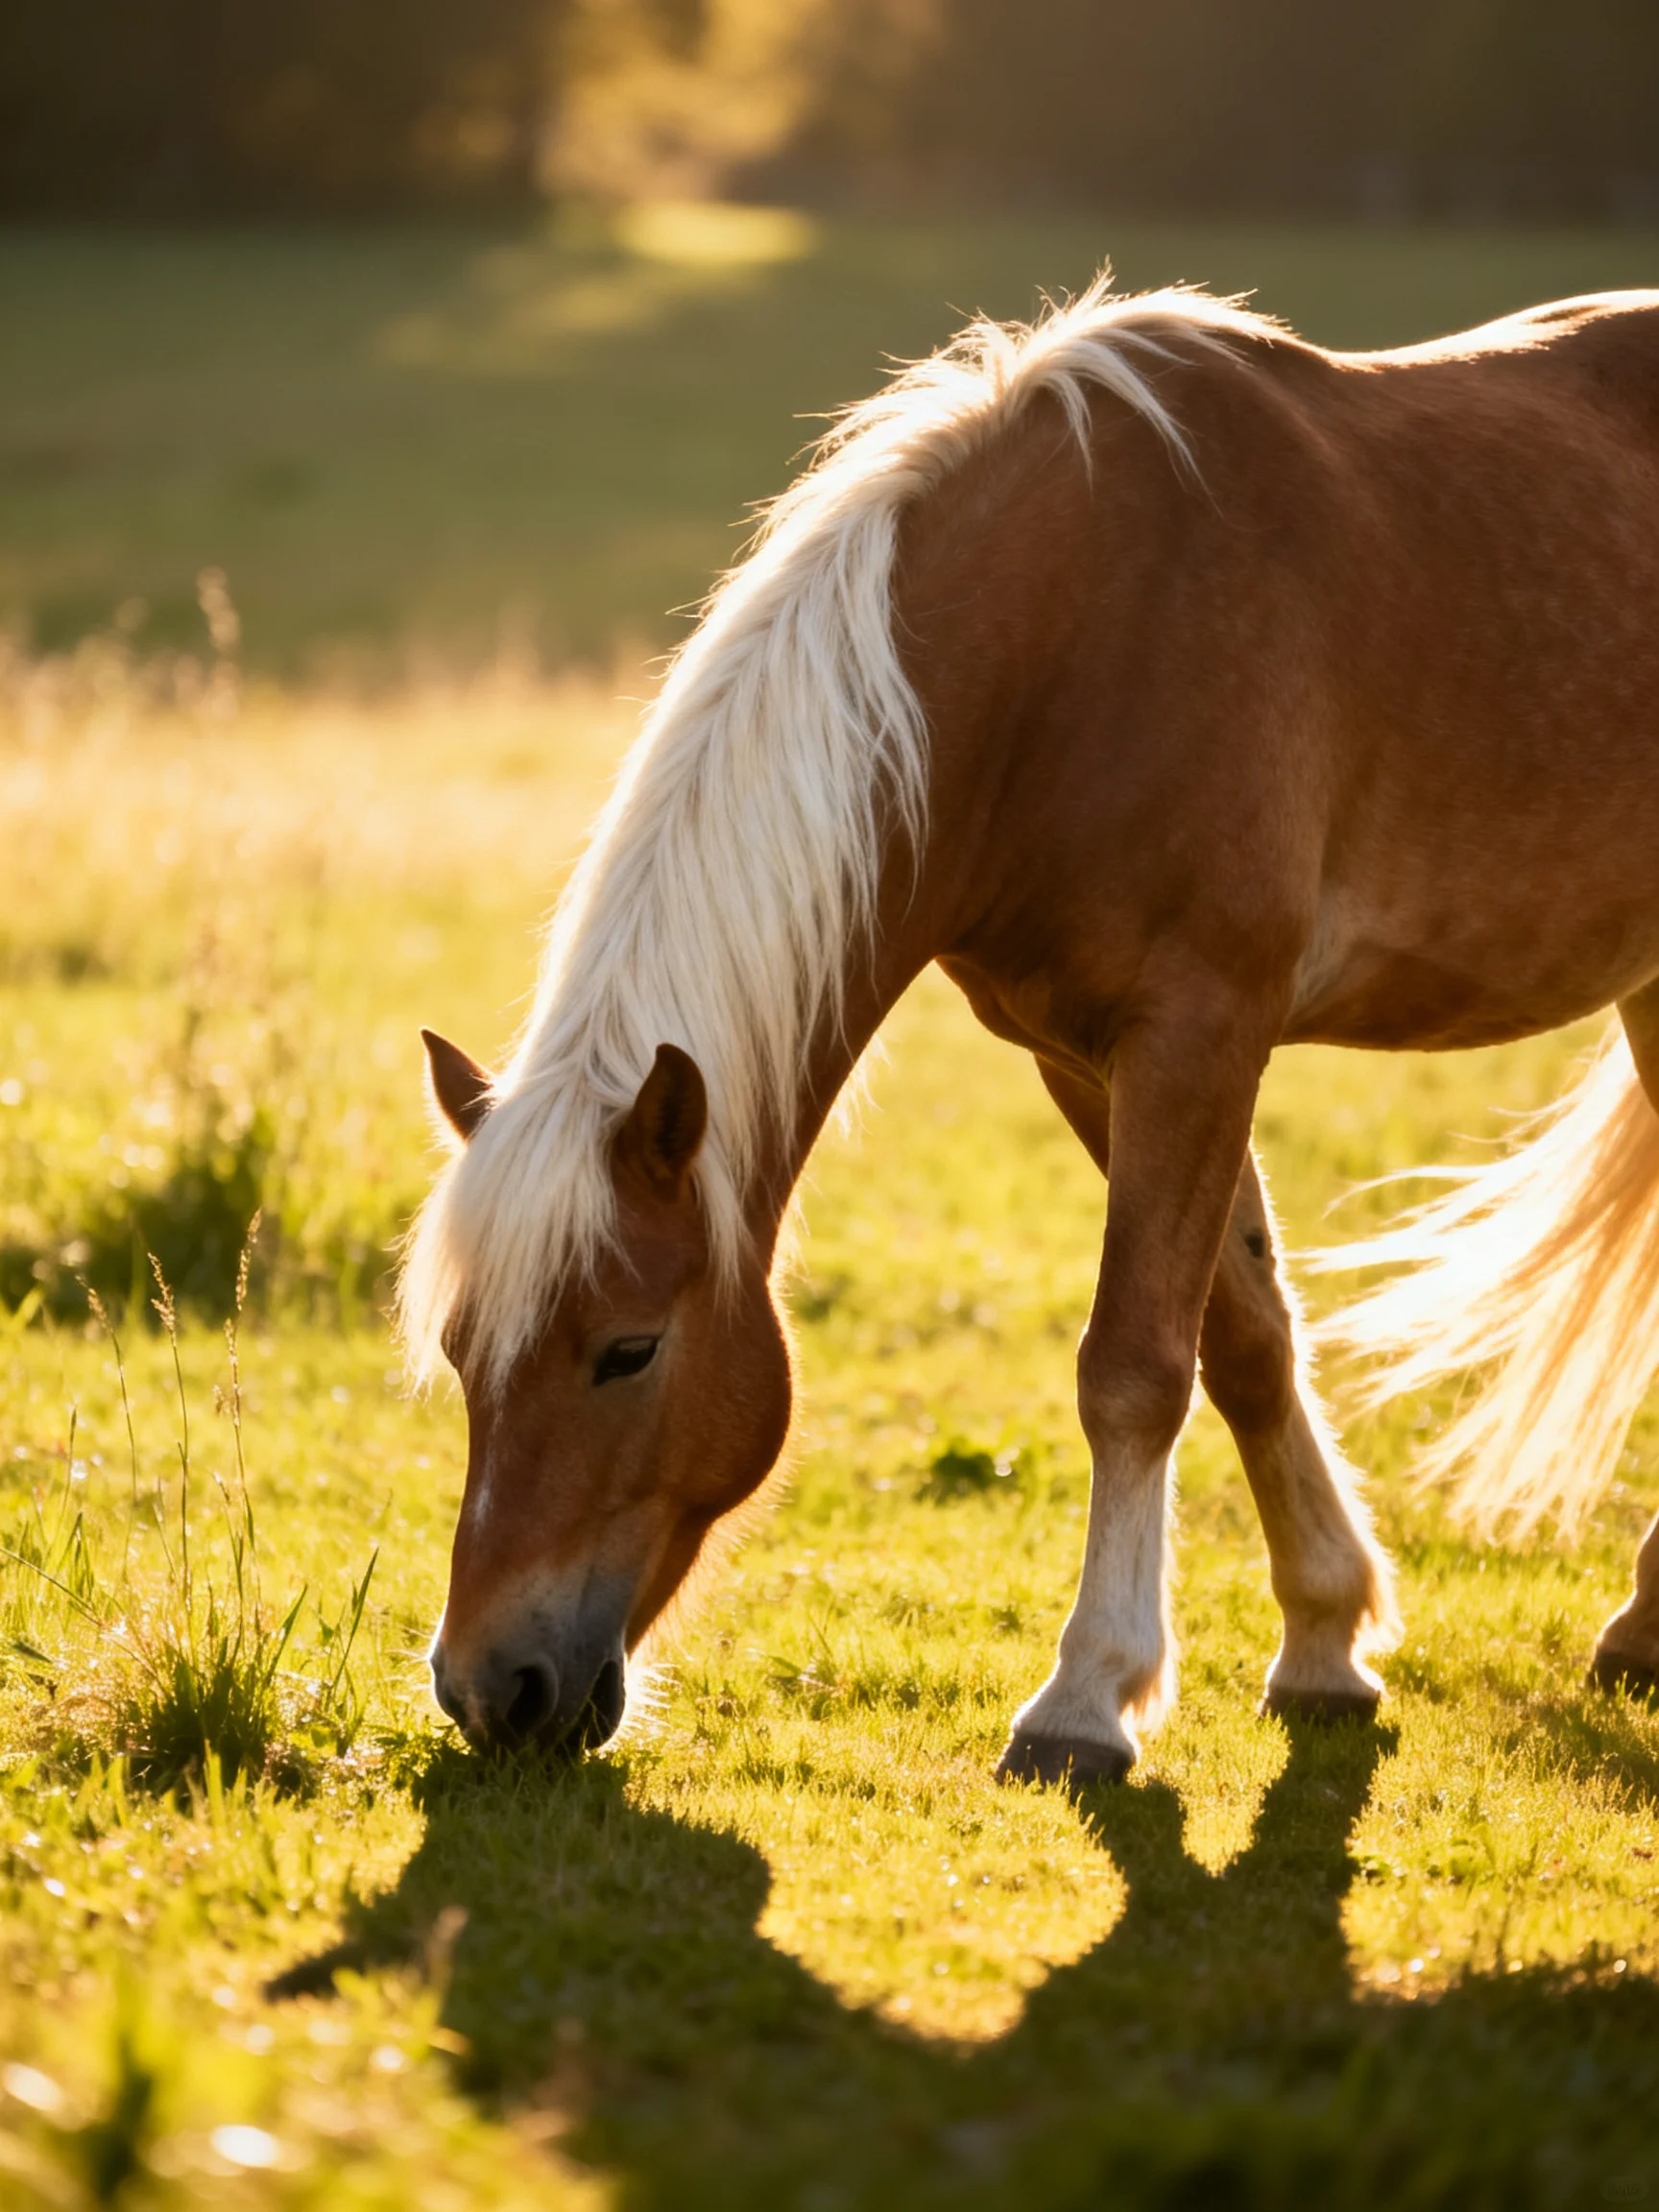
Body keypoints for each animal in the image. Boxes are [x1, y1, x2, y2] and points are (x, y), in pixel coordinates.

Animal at [402, 275, 1659, 1785]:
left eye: (629, 1349)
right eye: (462, 1349)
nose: (489, 1688)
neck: (1071, 647)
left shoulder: (1200, 1028)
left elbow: (1133, 1366)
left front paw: (1087, 1699)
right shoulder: (1087, 1057)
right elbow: (1243, 1339)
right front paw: (1323, 1639)